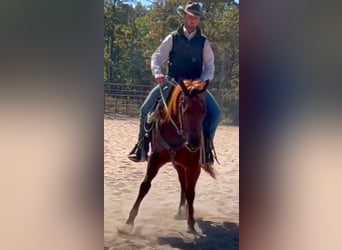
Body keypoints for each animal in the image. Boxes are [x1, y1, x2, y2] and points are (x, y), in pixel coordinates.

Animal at [124, 79, 215, 232]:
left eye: (204, 111)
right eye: (185, 111)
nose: (194, 144)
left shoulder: (193, 166)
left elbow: (191, 193)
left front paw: (191, 223)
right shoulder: (155, 158)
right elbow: (144, 186)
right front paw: (129, 222)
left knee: (188, 188)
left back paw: (185, 212)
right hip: (178, 166)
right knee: (183, 184)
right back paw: (180, 211)